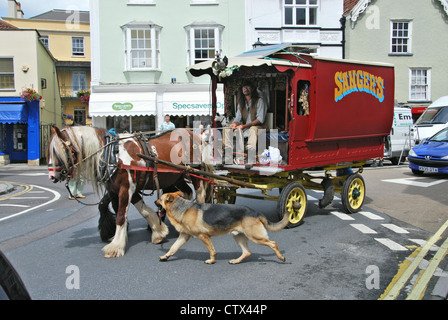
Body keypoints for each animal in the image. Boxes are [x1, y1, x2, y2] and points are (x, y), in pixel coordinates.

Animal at [47, 125, 212, 258]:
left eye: (59, 151)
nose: (52, 176)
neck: (112, 154)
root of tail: (193, 134)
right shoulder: (119, 189)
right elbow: (141, 210)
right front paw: (158, 231)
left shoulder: (126, 188)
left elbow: (121, 215)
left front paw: (115, 247)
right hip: (176, 177)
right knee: (187, 192)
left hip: (195, 173)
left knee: (199, 195)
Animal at [156, 191, 288, 264]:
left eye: (160, 199)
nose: (154, 202)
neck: (181, 207)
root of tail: (256, 212)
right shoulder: (184, 236)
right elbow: (173, 248)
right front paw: (165, 256)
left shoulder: (203, 236)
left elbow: (211, 250)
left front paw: (211, 261)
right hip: (238, 236)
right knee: (247, 252)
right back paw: (236, 261)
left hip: (255, 236)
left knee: (273, 243)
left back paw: (281, 257)